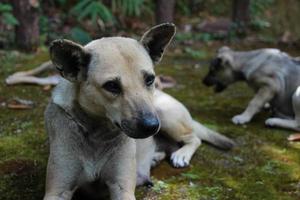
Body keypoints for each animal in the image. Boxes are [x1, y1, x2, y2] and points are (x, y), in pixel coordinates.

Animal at [43, 24, 234, 199]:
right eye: (111, 86)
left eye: (150, 79)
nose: (151, 127)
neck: (98, 132)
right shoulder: (57, 191)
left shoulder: (122, 188)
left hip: (165, 114)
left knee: (194, 138)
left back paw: (181, 155)